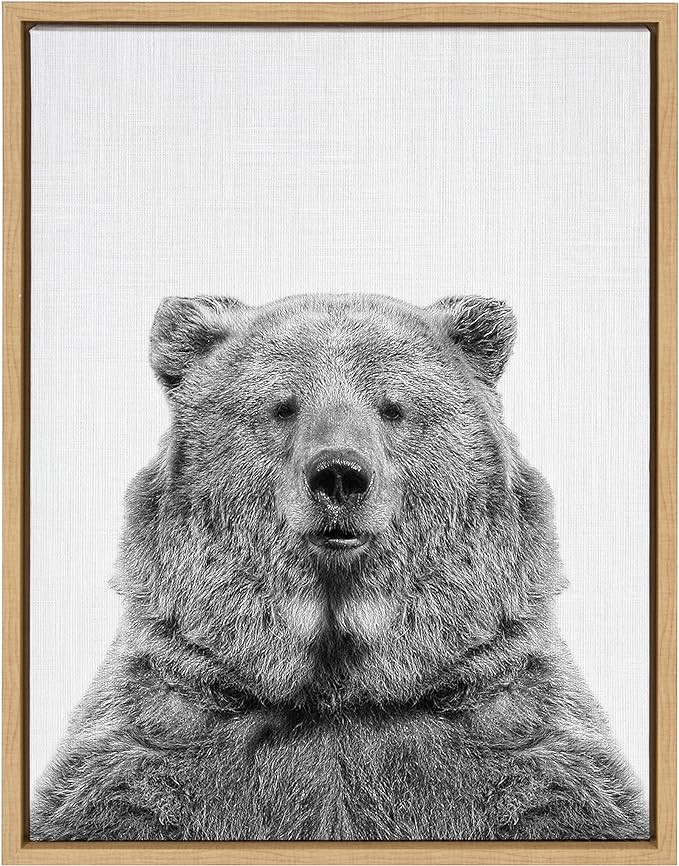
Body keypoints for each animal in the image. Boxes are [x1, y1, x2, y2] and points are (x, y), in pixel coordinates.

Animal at [31, 293, 648, 841]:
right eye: (283, 406)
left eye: (392, 407)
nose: (339, 475)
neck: (340, 684)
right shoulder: (164, 730)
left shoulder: (512, 727)